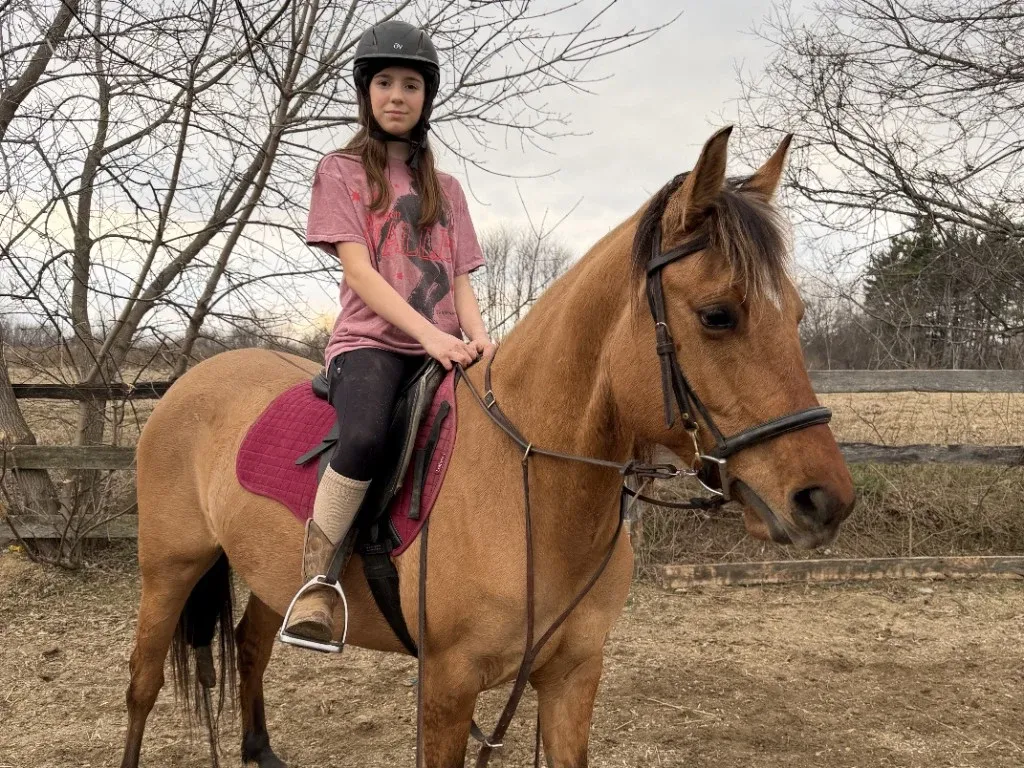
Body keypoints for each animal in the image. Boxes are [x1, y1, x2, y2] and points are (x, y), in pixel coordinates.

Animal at [120, 126, 856, 768]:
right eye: (717, 315)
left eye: (797, 315)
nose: (825, 502)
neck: (531, 483)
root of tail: (189, 383)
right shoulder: (447, 685)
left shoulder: (572, 676)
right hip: (169, 568)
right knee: (143, 684)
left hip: (270, 572)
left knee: (250, 647)